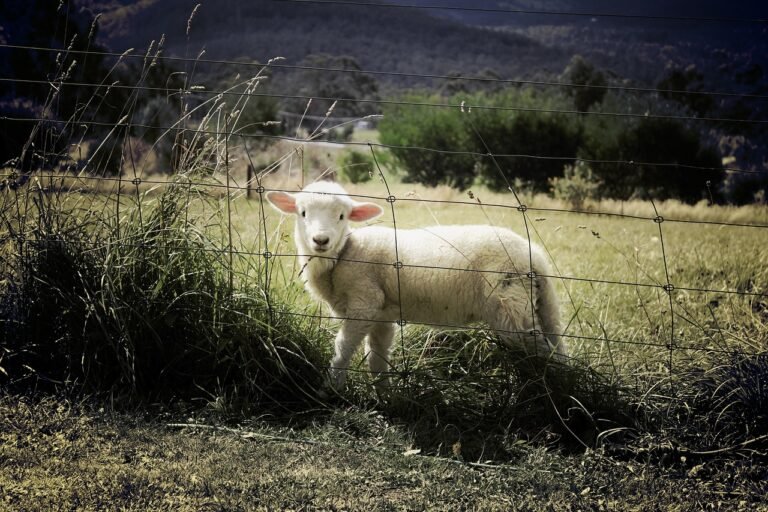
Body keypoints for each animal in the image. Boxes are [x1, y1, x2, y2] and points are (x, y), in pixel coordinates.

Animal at [266, 181, 567, 391]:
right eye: (303, 213)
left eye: (342, 216)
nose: (320, 240)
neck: (343, 255)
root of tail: (534, 257)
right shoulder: (381, 315)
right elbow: (377, 357)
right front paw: (384, 396)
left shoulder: (364, 302)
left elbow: (343, 348)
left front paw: (330, 389)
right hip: (538, 305)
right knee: (556, 344)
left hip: (510, 308)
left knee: (541, 350)